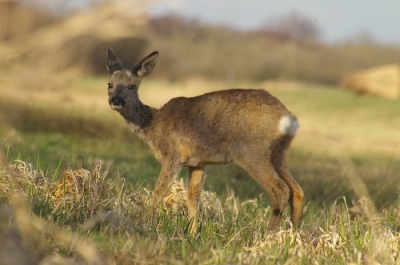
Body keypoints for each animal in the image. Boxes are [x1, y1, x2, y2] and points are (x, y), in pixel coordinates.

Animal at [105, 49, 304, 233]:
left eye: (132, 86)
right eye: (110, 84)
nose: (116, 100)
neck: (152, 125)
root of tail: (287, 117)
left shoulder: (172, 155)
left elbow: (158, 192)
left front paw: (148, 226)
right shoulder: (197, 162)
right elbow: (193, 196)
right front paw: (192, 233)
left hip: (251, 151)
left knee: (281, 190)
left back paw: (267, 235)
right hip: (279, 152)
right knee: (297, 190)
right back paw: (292, 234)